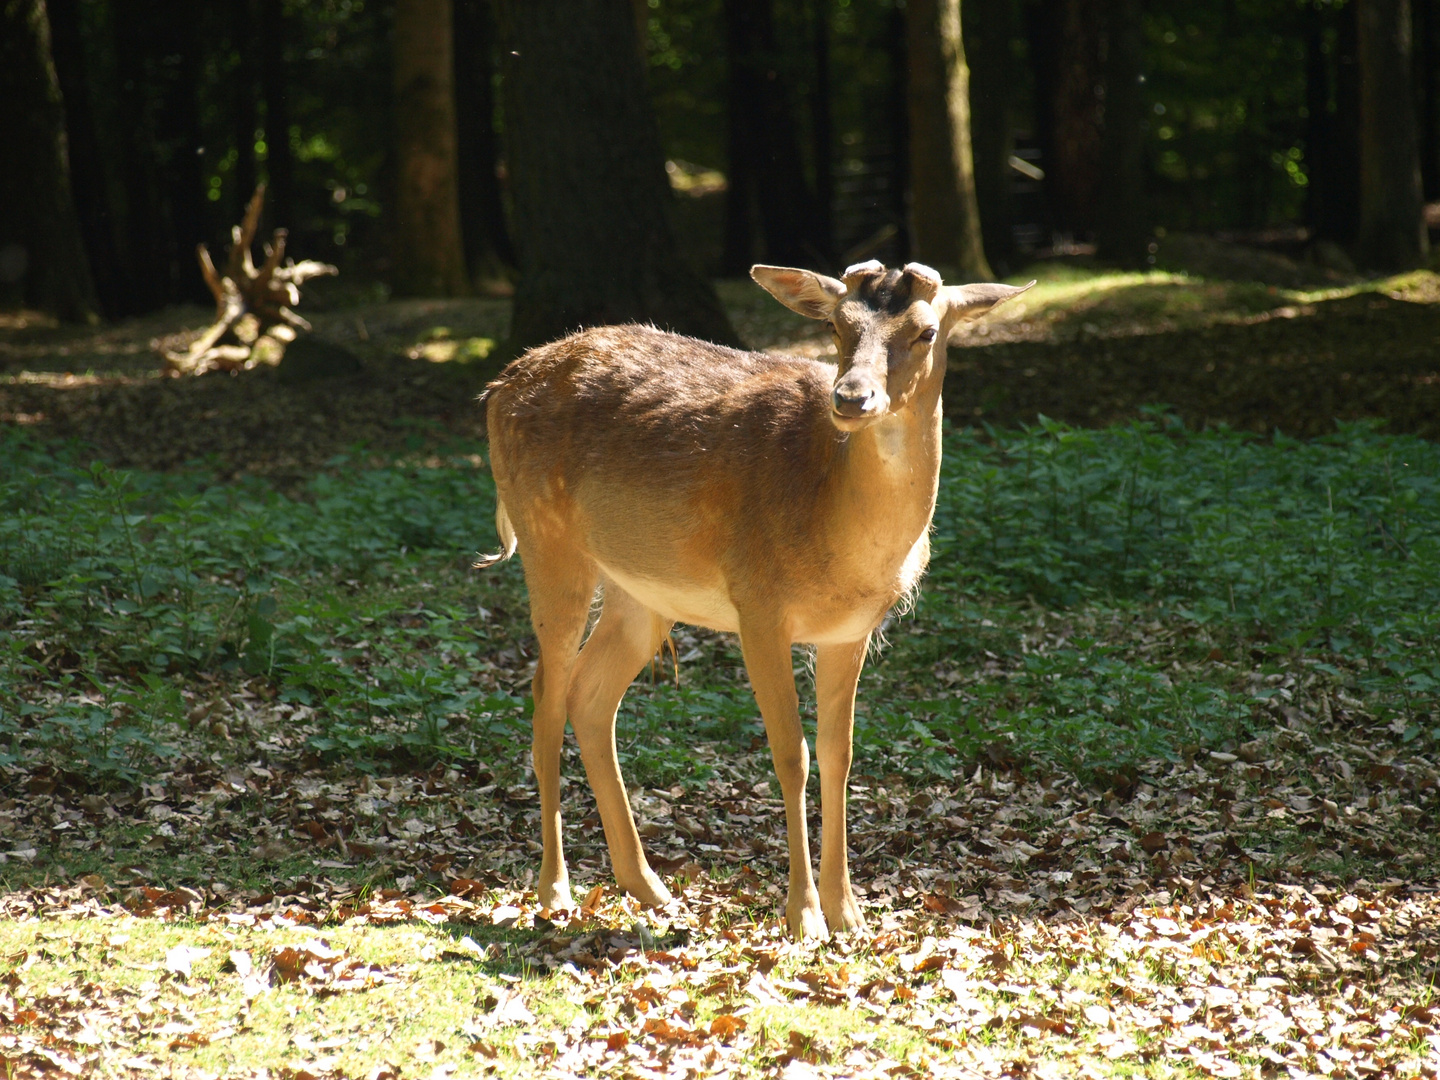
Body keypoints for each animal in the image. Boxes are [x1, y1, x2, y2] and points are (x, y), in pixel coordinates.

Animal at [478, 260, 1031, 938]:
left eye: (927, 332)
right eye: (837, 326)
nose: (851, 398)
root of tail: (499, 387)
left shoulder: (851, 631)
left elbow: (840, 754)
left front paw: (851, 913)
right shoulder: (758, 605)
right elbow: (791, 754)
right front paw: (804, 916)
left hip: (640, 594)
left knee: (590, 696)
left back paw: (652, 888)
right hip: (548, 542)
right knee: (545, 695)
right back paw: (554, 891)